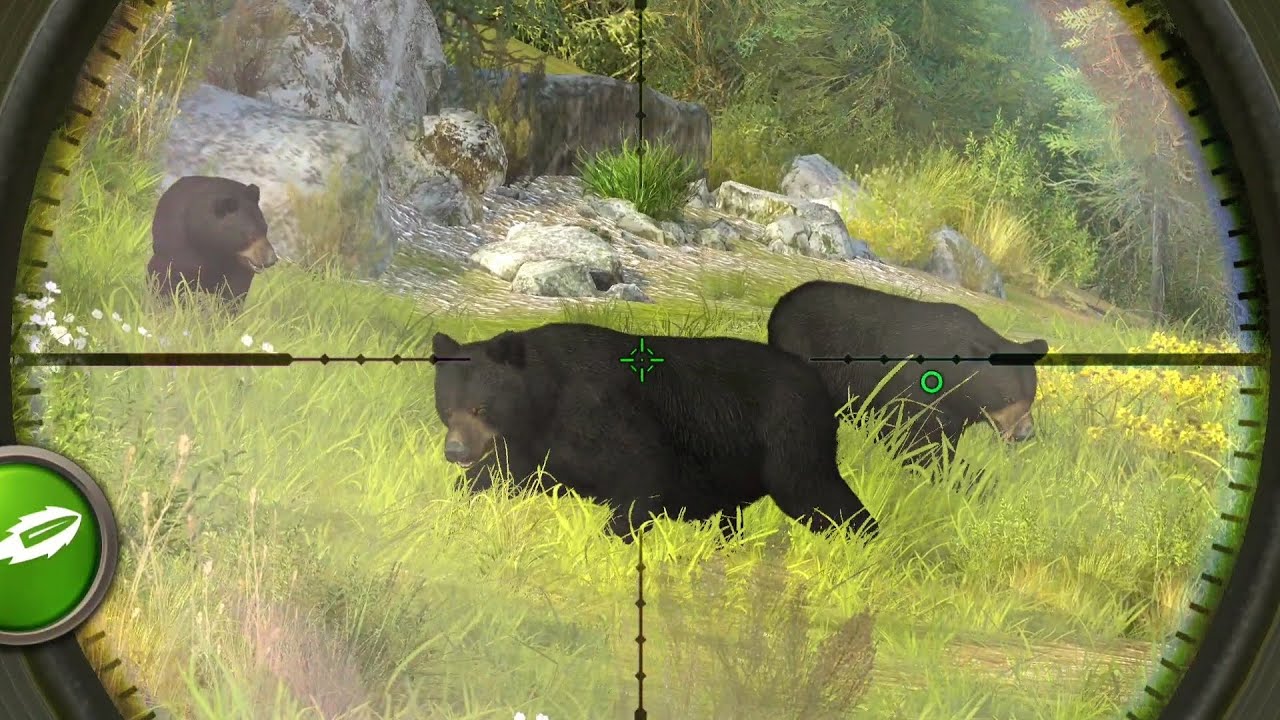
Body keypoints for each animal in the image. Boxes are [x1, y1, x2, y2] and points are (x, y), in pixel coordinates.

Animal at [146, 175, 279, 313]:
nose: (272, 258)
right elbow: (164, 277)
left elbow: (234, 294)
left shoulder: (238, 268)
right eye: (250, 234)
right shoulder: (178, 248)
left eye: (265, 229)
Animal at [431, 322, 879, 543]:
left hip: (790, 440)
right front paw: (453, 508)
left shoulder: (606, 420)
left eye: (480, 407)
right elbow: (501, 474)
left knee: (816, 493)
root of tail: (819, 382)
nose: (455, 451)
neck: (546, 399)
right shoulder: (533, 447)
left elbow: (639, 483)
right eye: (447, 408)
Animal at [766, 280, 1049, 464]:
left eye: (1030, 398)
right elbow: (912, 438)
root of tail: (782, 302)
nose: (1026, 433)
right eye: (1008, 397)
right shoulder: (912, 391)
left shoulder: (955, 413)